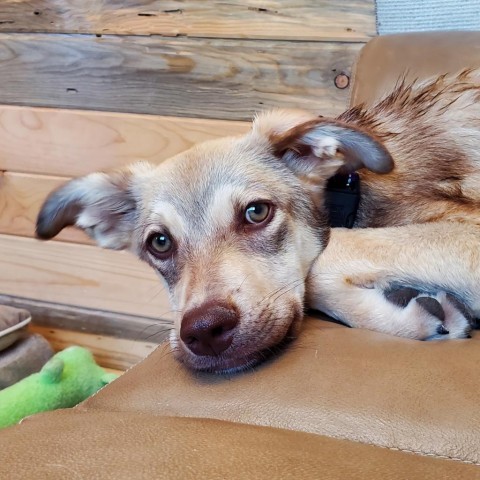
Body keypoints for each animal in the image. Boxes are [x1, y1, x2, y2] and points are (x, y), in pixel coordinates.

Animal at [36, 69, 480, 374]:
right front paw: (415, 311)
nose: (203, 332)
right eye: (159, 243)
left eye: (256, 212)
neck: (349, 188)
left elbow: (326, 257)